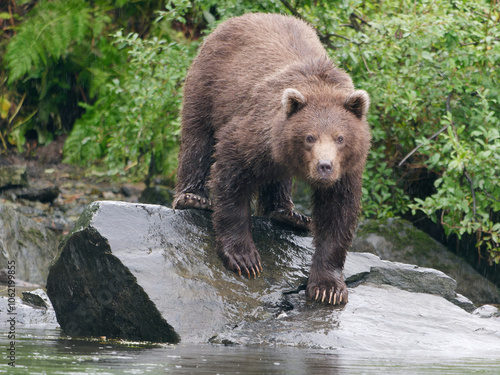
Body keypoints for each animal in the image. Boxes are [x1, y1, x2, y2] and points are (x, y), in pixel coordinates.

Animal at [173, 12, 372, 306]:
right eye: (310, 137)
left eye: (340, 138)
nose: (324, 166)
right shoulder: (254, 132)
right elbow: (231, 174)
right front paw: (245, 259)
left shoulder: (347, 171)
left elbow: (338, 214)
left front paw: (329, 288)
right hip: (209, 84)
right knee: (197, 137)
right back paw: (192, 197)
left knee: (277, 178)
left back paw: (289, 214)